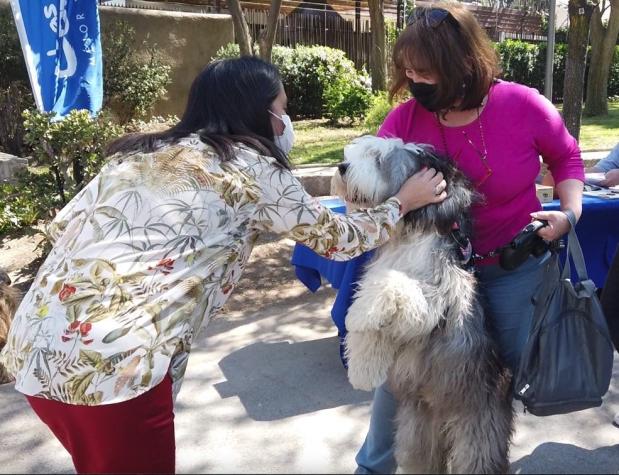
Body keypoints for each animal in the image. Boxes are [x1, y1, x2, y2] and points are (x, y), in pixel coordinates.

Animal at [336, 136, 516, 474]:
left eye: (378, 158)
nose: (341, 167)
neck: (411, 235)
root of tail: (443, 412)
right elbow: (371, 331)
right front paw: (362, 371)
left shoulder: (432, 300)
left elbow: (393, 285)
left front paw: (359, 316)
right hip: (415, 429)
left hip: (476, 430)